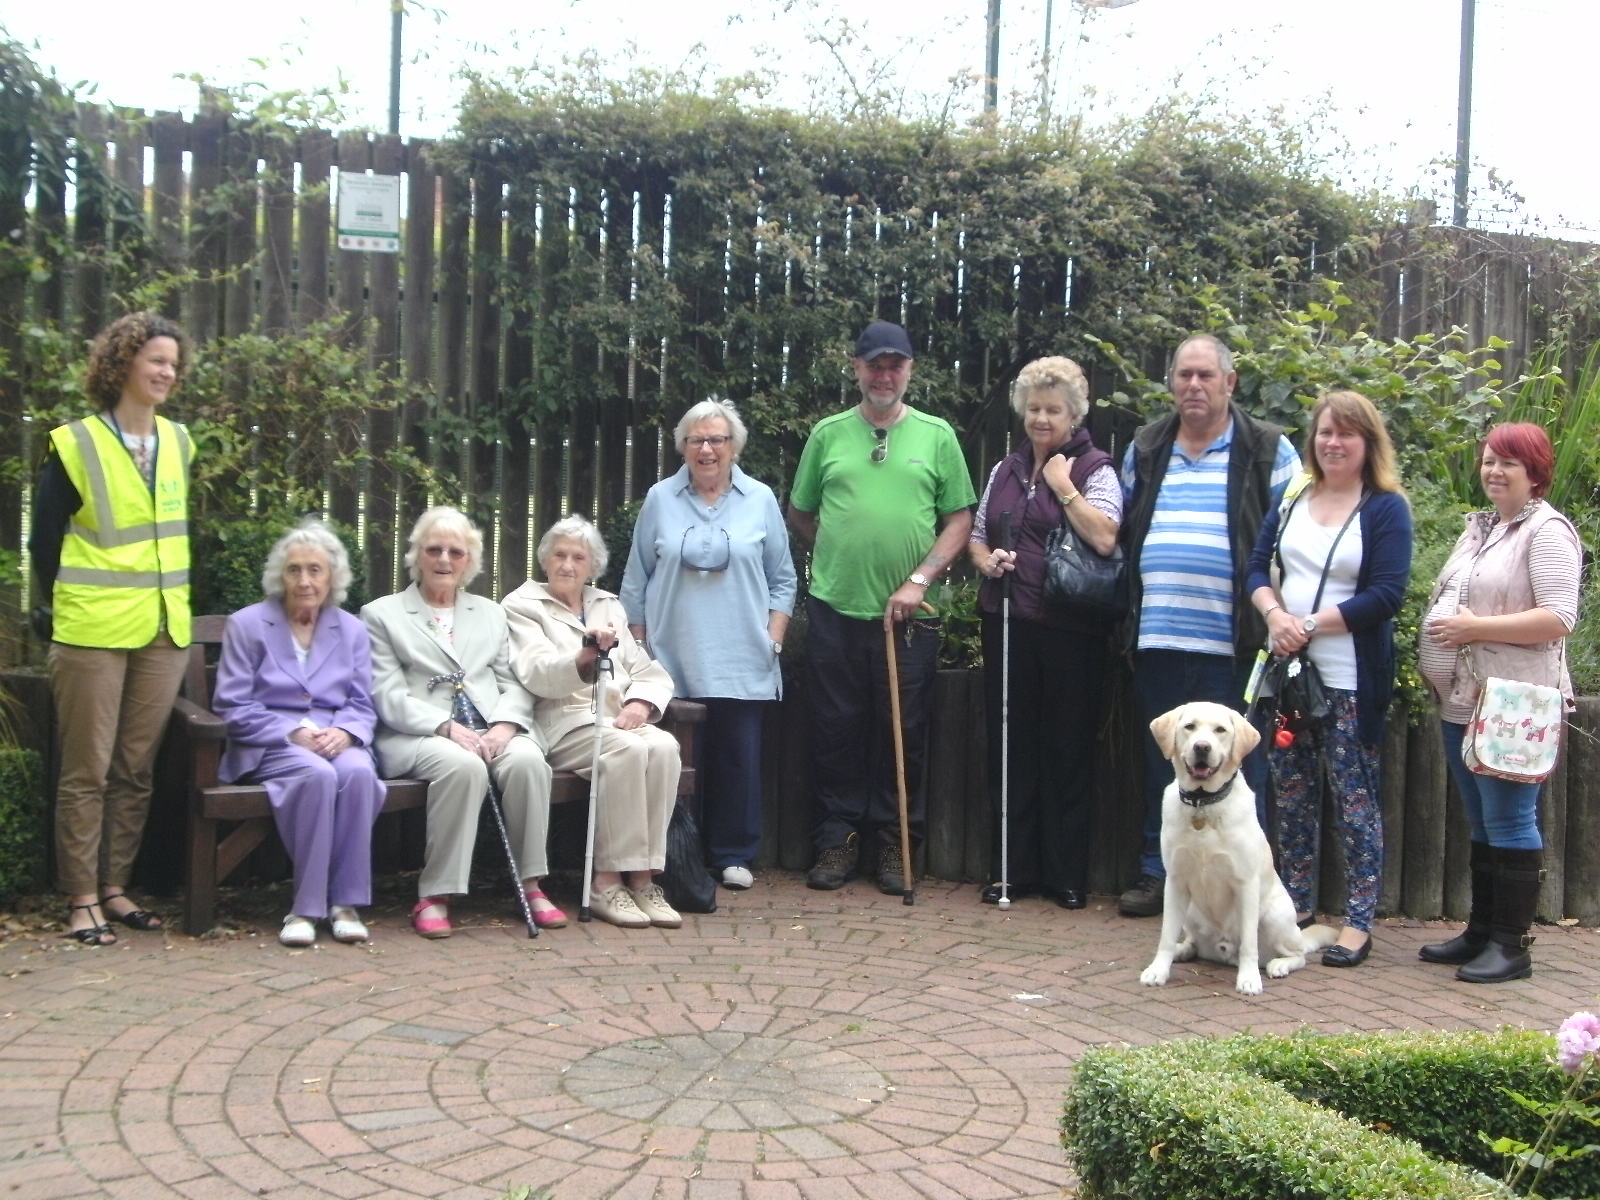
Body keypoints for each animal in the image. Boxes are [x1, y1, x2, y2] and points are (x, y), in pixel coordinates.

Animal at [1139, 704, 1337, 998]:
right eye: (1189, 727)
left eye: (1220, 730)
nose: (1202, 747)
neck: (1204, 803)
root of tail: (1222, 952)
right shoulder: (1175, 881)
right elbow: (1166, 935)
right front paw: (1158, 970)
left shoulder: (1245, 883)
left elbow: (1248, 944)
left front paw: (1249, 979)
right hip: (1191, 911)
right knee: (1192, 942)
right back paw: (1181, 951)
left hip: (1274, 915)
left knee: (1298, 954)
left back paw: (1279, 965)